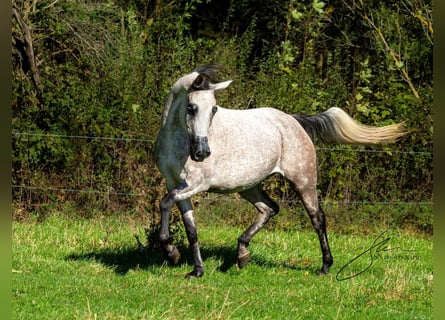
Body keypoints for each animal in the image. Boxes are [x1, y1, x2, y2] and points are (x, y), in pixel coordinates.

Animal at [153, 64, 406, 278]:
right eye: (191, 108)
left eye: (214, 109)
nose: (202, 153)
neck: (177, 142)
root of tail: (294, 121)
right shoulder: (176, 183)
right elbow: (191, 229)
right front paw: (196, 270)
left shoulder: (196, 184)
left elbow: (165, 202)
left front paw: (170, 252)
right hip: (249, 186)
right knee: (270, 209)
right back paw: (242, 255)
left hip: (303, 181)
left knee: (317, 218)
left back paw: (325, 266)